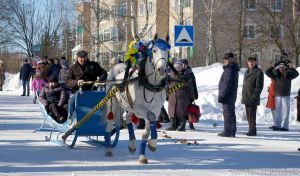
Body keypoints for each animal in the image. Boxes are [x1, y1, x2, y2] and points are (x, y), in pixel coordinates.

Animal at [105, 35, 171, 164]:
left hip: (128, 106)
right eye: (154, 50)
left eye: (167, 51)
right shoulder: (140, 109)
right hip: (113, 104)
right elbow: (150, 118)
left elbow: (147, 131)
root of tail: (116, 67)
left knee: (128, 119)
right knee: (109, 124)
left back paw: (132, 144)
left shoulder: (156, 109)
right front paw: (152, 144)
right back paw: (108, 149)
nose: (161, 69)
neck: (151, 85)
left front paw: (145, 152)